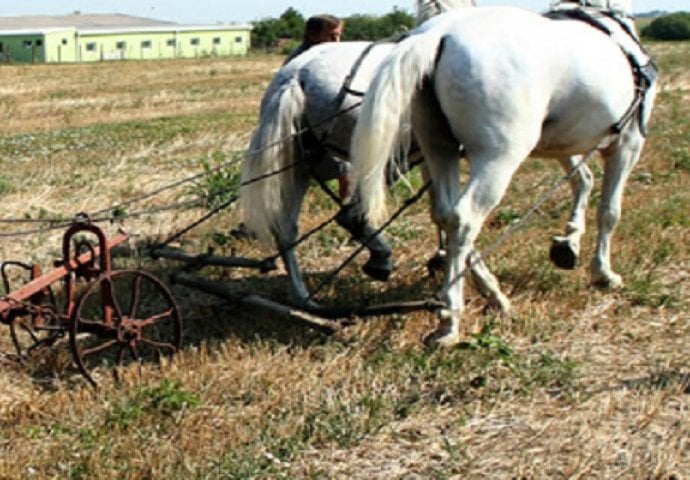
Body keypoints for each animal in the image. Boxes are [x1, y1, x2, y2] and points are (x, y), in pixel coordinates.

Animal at [241, 0, 472, 308]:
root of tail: (297, 77)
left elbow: (441, 210)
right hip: (375, 158)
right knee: (351, 214)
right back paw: (379, 259)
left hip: (299, 165)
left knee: (287, 229)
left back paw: (304, 298)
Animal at [350, 0, 656, 344]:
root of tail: (440, 34)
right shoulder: (628, 143)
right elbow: (609, 211)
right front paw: (603, 273)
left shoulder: (563, 144)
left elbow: (583, 182)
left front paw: (568, 243)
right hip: (497, 158)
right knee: (465, 219)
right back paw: (450, 319)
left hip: (438, 149)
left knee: (445, 215)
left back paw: (484, 296)